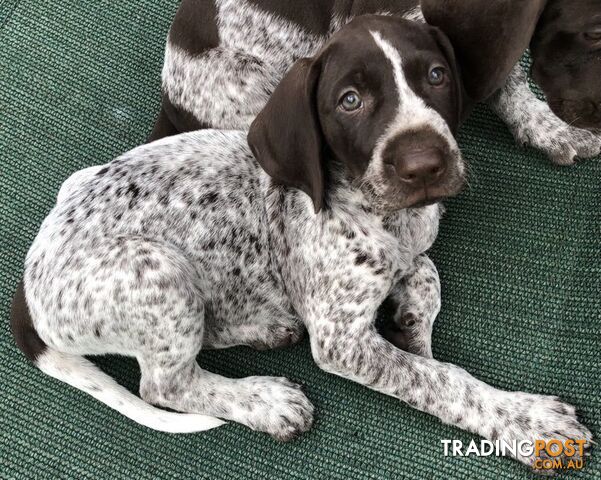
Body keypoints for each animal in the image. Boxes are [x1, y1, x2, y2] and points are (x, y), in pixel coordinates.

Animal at [11, 17, 588, 468]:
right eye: (350, 101)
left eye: (437, 76)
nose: (425, 164)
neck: (384, 218)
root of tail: (30, 276)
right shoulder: (341, 340)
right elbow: (441, 379)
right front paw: (527, 420)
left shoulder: (406, 253)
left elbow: (426, 275)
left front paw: (412, 326)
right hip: (157, 269)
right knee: (164, 385)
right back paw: (265, 400)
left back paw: (266, 329)